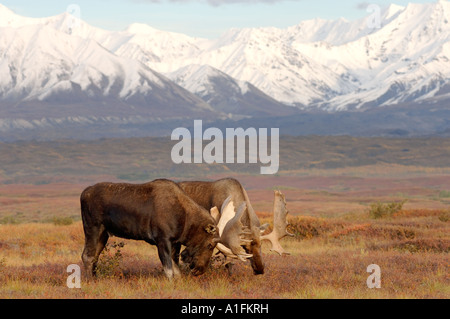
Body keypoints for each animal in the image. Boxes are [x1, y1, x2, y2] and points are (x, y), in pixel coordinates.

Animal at [80, 180, 250, 280]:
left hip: (104, 234)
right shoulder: (162, 240)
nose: (200, 270)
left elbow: (176, 270)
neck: (186, 221)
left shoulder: (174, 243)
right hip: (93, 228)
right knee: (87, 256)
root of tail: (83, 193)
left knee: (94, 257)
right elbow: (169, 270)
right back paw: (89, 281)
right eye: (210, 245)